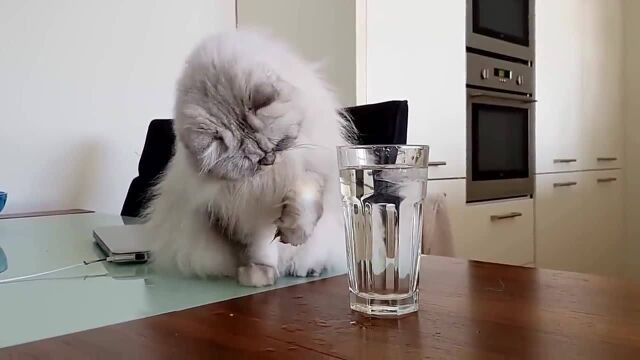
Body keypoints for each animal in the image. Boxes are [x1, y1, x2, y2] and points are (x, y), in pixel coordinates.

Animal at [144, 29, 356, 286]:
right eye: (254, 163)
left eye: (277, 146)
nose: (269, 161)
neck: (268, 179)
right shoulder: (235, 212)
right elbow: (259, 248)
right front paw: (258, 275)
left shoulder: (310, 167)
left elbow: (303, 201)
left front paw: (294, 233)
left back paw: (307, 269)